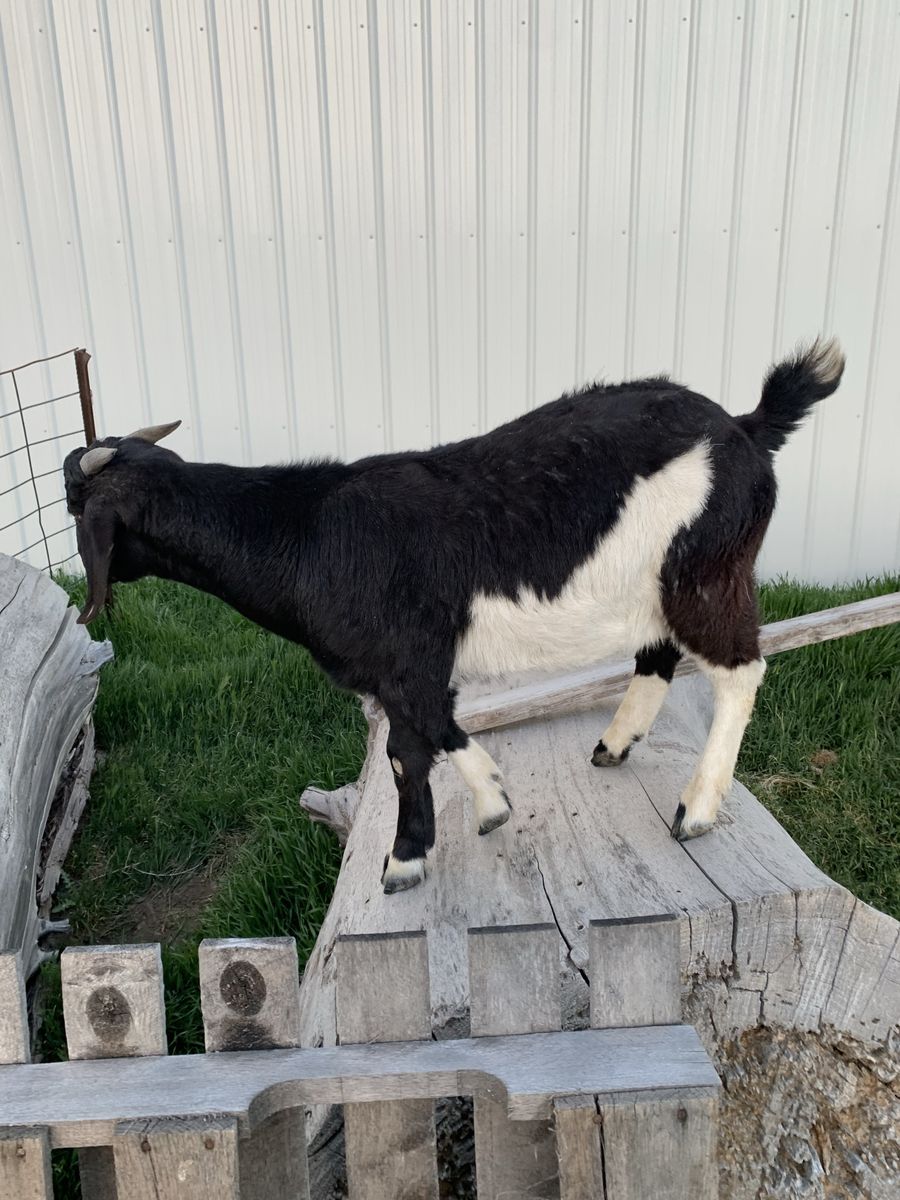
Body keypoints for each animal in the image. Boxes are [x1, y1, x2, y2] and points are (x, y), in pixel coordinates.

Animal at [63, 338, 844, 893]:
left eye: (73, 502)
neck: (307, 532)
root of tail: (746, 426)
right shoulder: (410, 667)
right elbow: (432, 732)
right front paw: (491, 801)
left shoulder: (405, 661)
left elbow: (406, 752)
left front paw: (407, 859)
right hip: (656, 589)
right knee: (657, 655)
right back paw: (615, 744)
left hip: (706, 575)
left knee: (739, 670)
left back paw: (698, 809)